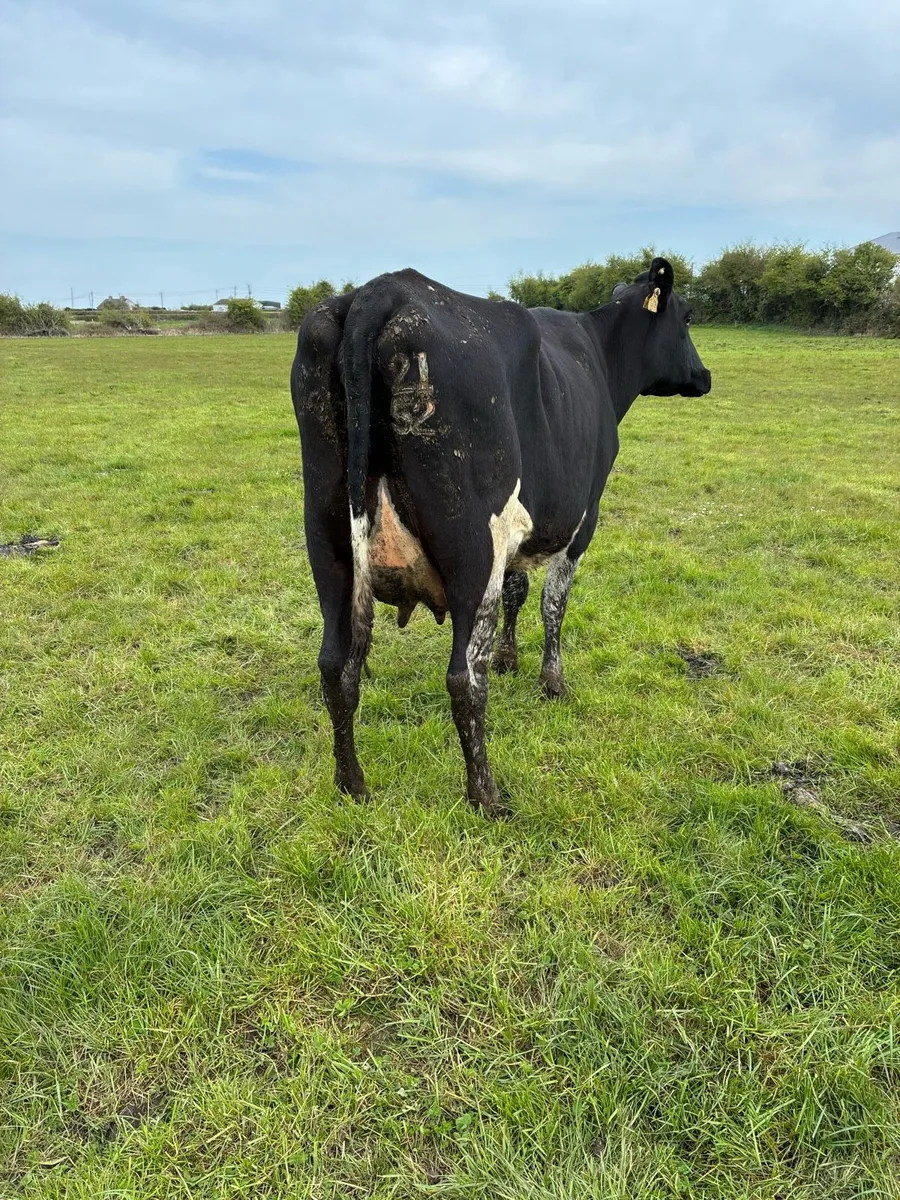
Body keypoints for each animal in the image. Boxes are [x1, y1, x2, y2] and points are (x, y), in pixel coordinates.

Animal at [291, 258, 711, 815]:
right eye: (686, 317)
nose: (705, 375)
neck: (600, 356)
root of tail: (380, 291)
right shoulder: (582, 521)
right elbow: (553, 603)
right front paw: (552, 682)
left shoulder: (516, 537)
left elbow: (519, 588)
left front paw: (511, 658)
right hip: (473, 553)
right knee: (465, 676)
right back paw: (486, 795)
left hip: (329, 543)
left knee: (336, 666)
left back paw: (351, 784)